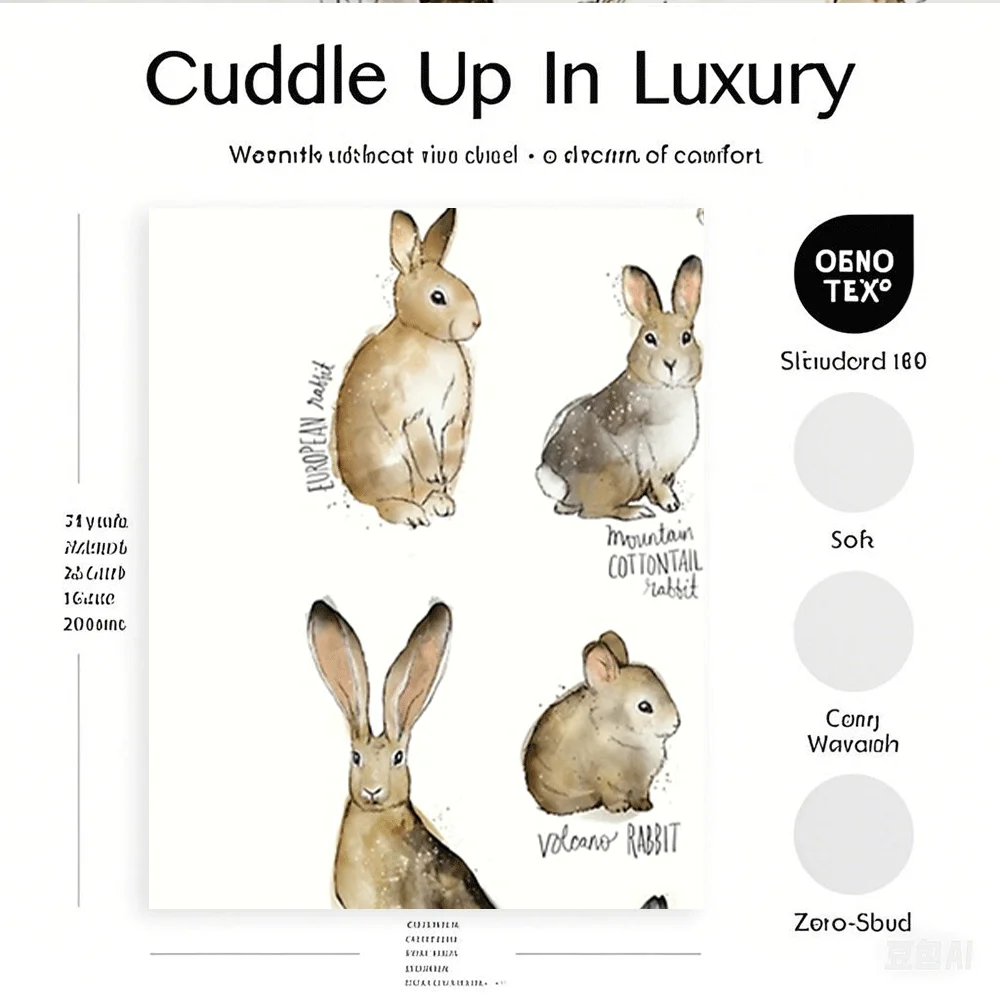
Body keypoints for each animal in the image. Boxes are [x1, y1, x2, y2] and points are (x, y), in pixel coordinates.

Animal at [332, 208, 481, 528]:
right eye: (438, 297)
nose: (477, 322)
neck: (429, 339)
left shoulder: (454, 418)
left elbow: (453, 441)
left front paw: (447, 473)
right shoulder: (411, 412)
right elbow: (421, 440)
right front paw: (436, 472)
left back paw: (440, 503)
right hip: (391, 465)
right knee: (386, 502)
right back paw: (411, 514)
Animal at [523, 631, 680, 816]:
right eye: (644, 707)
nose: (676, 723)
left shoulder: (642, 783)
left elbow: (640, 794)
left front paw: (645, 806)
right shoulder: (605, 780)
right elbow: (611, 796)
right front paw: (619, 808)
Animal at [536, 256, 703, 521]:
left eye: (686, 337)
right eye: (650, 338)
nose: (670, 363)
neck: (666, 388)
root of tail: (559, 481)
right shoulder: (652, 460)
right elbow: (659, 483)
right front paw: (669, 503)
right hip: (621, 473)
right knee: (591, 512)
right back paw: (636, 511)